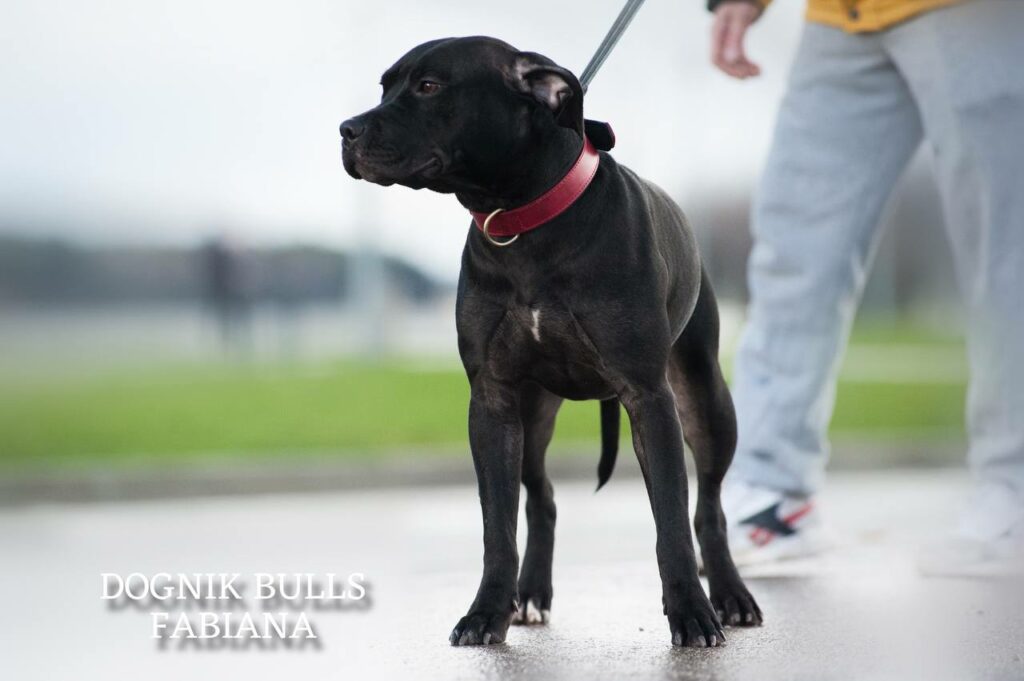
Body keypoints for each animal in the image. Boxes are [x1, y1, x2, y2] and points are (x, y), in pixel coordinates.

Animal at [342, 35, 761, 647]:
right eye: (384, 86)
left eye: (429, 86)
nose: (346, 130)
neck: (523, 221)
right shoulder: (492, 401)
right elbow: (497, 526)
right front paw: (486, 612)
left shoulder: (649, 397)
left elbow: (671, 520)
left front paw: (690, 612)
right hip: (533, 413)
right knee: (542, 498)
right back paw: (532, 594)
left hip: (704, 397)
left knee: (708, 506)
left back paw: (730, 596)